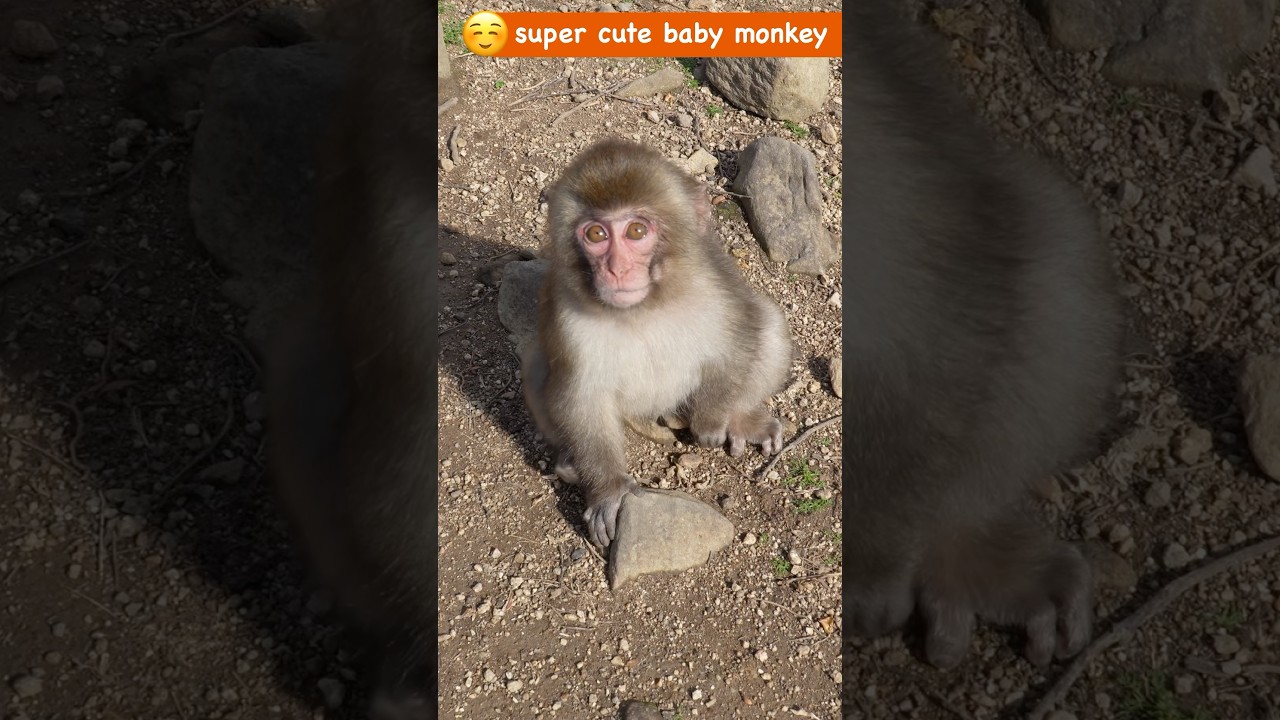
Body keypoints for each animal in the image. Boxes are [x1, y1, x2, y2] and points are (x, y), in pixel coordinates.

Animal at [521, 137, 794, 550]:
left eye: (636, 231)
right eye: (596, 235)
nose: (616, 269)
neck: (643, 309)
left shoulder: (714, 284)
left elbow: (740, 339)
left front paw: (712, 420)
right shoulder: (565, 313)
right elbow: (580, 394)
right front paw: (609, 491)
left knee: (769, 324)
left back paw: (740, 418)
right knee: (537, 363)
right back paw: (570, 463)